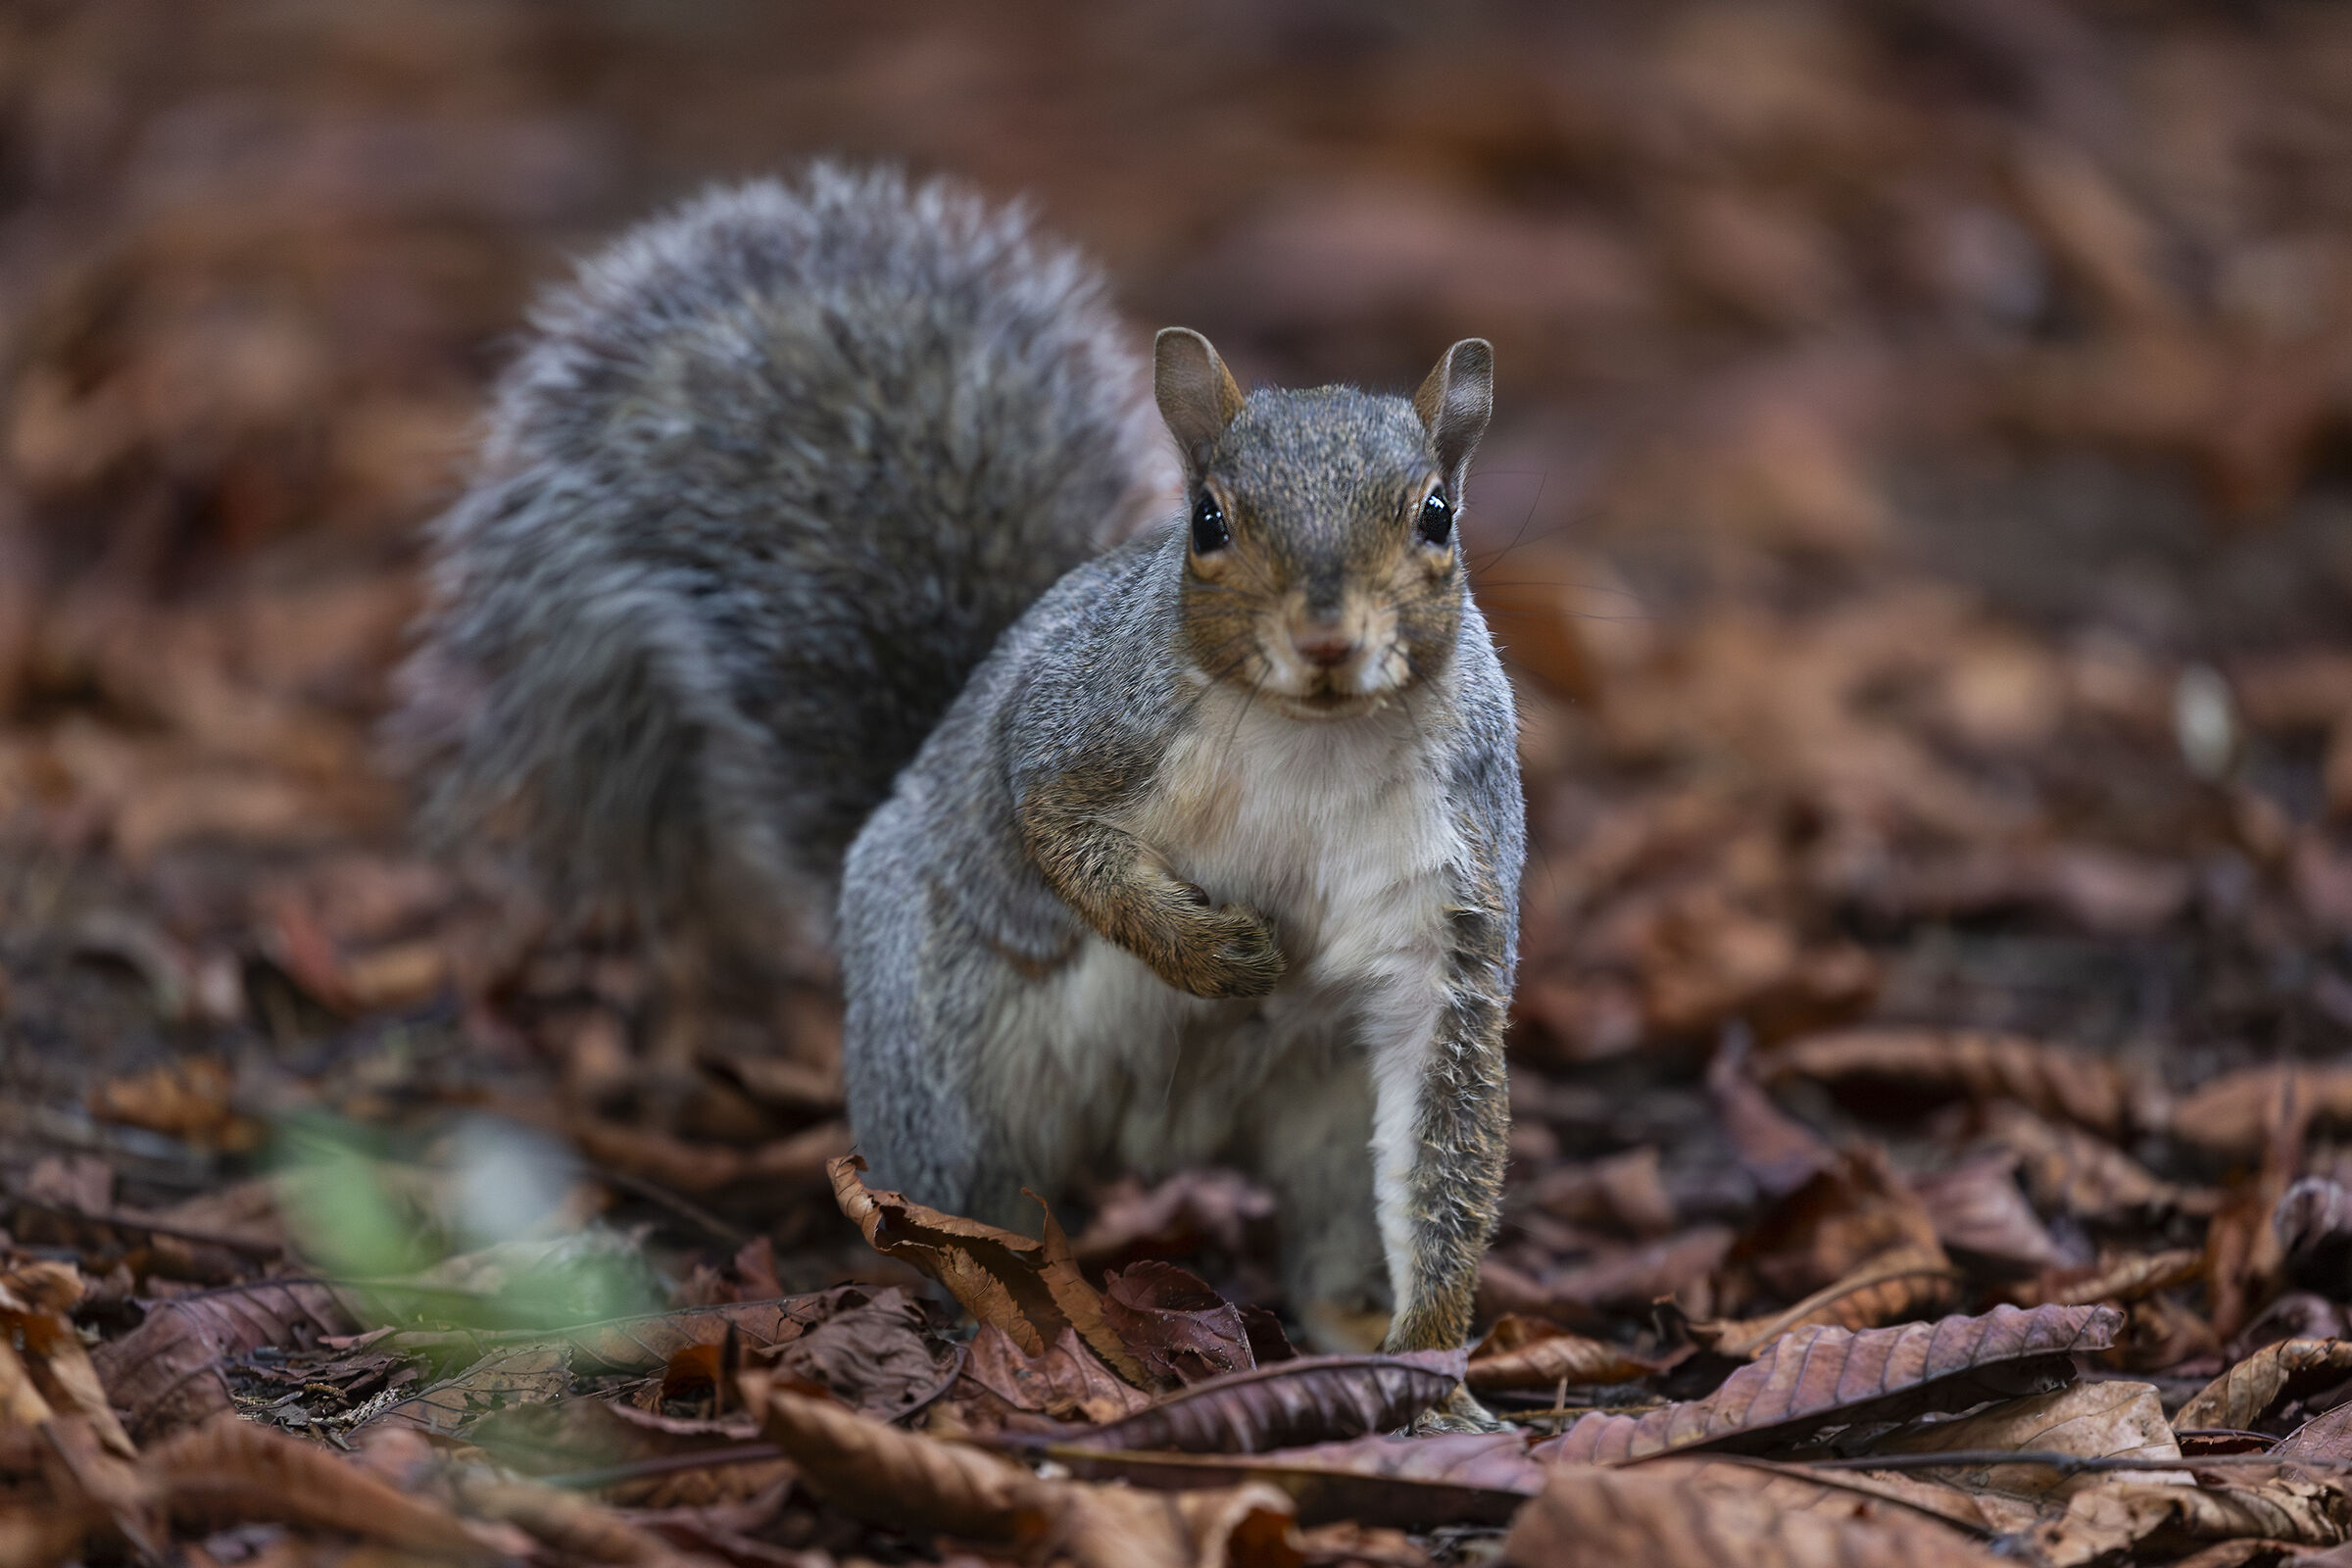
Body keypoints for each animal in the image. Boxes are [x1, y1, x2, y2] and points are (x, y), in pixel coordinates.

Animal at [396, 164, 1524, 1409]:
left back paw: (1353, 1318)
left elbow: (1444, 1131)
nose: (1327, 637)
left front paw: (1435, 1361)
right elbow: (1056, 835)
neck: (1309, 736)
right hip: (942, 1069)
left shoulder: (1452, 886)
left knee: (1338, 1224)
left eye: (1437, 515)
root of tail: (1164, 1136)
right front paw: (1210, 952)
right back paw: (1006, 1302)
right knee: (954, 1214)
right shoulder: (1070, 730)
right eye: (1208, 521)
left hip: (1322, 1114)